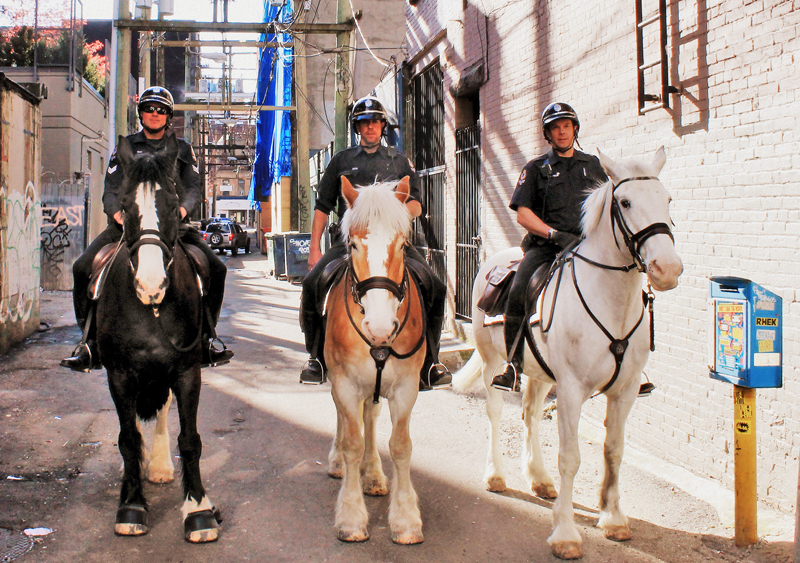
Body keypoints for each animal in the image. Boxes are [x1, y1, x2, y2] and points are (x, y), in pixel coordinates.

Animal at [94, 134, 220, 543]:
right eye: (125, 206)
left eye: (171, 204)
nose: (151, 286)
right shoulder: (119, 374)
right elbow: (128, 439)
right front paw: (132, 505)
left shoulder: (187, 371)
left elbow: (190, 439)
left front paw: (198, 509)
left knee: (162, 408)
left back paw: (162, 466)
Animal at [323, 176, 427, 544]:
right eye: (353, 245)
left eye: (403, 245)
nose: (380, 328)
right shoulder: (344, 382)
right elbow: (352, 442)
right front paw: (351, 516)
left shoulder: (406, 387)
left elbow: (400, 445)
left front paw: (406, 518)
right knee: (345, 420)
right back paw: (338, 463)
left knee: (370, 416)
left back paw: (373, 475)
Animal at [453, 147, 683, 559]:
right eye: (626, 202)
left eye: (667, 199)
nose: (667, 268)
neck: (610, 300)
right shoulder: (572, 390)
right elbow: (571, 457)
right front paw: (565, 533)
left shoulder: (624, 392)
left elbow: (613, 450)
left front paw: (613, 519)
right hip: (494, 362)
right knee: (495, 412)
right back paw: (495, 475)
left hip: (539, 373)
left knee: (529, 413)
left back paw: (540, 480)